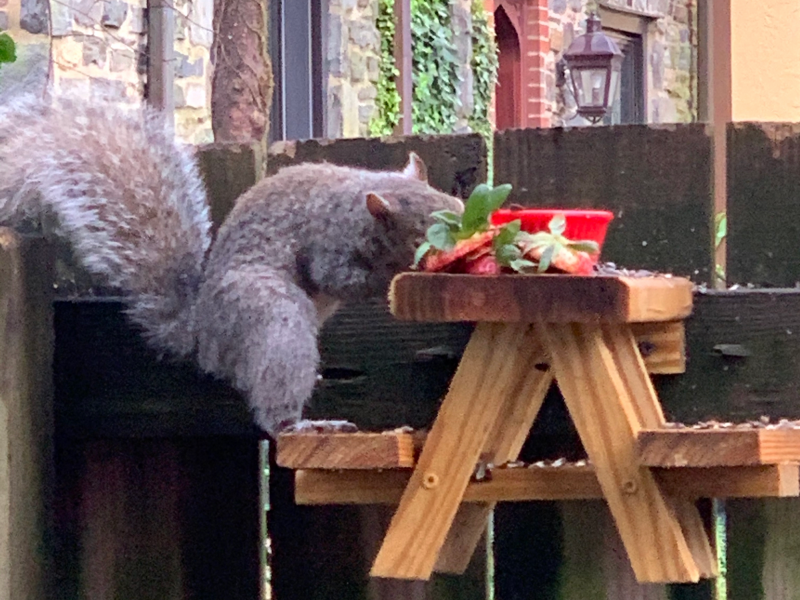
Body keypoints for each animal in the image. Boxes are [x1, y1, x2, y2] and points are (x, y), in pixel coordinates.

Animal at [0, 92, 466, 436]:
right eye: (424, 232)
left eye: (456, 201)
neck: (357, 205)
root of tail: (203, 336)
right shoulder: (328, 243)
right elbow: (338, 278)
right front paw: (401, 270)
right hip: (268, 312)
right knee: (276, 405)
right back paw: (303, 424)